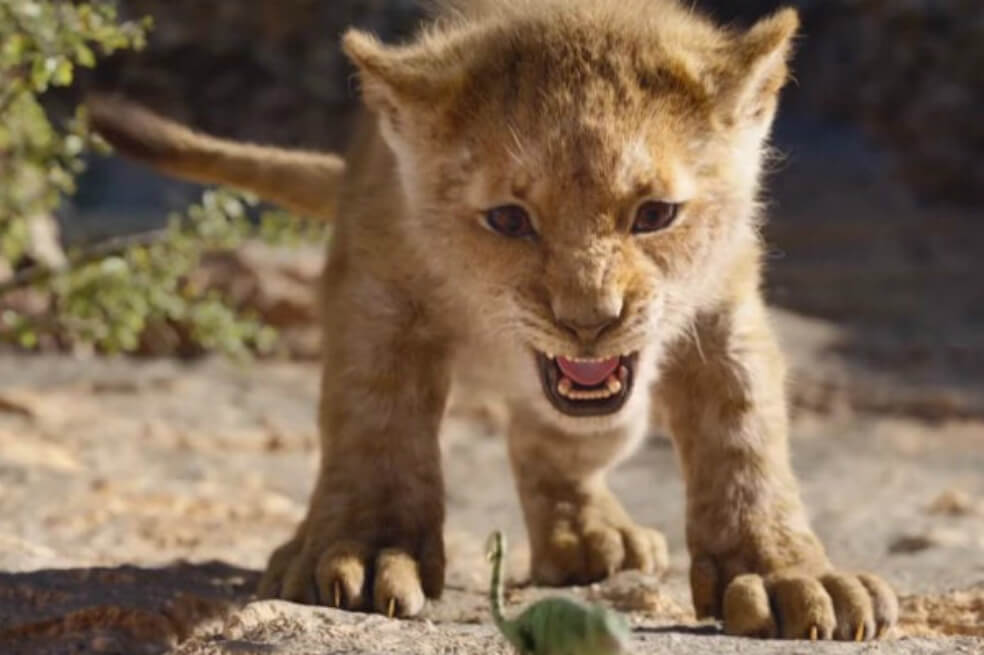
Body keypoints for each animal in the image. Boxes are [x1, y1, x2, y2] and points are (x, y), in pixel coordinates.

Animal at [87, 0, 898, 640]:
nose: (589, 321)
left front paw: (784, 573)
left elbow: (746, 440)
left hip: (614, 415)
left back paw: (592, 537)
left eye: (655, 214)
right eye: (509, 219)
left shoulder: (724, 312)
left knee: (553, 444)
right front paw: (365, 551)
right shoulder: (377, 292)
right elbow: (376, 424)